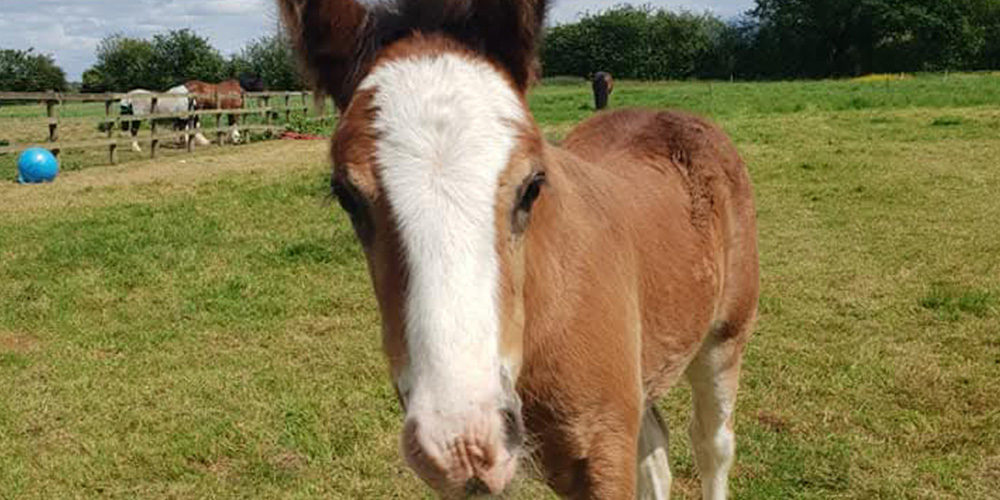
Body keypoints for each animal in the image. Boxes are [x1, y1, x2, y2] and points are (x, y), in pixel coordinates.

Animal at [279, 1, 759, 498]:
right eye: (346, 195)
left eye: (532, 186)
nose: (462, 444)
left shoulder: (604, 451)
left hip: (725, 337)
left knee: (711, 444)